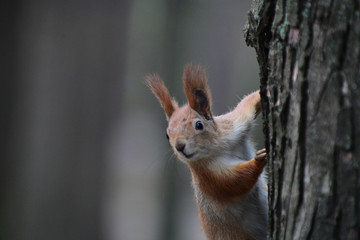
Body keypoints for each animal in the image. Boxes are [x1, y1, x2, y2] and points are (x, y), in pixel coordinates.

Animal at [146, 64, 268, 240]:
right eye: (167, 134)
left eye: (199, 125)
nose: (179, 146)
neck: (218, 148)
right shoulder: (207, 176)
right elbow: (233, 183)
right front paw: (259, 160)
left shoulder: (234, 126)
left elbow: (247, 104)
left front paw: (263, 92)